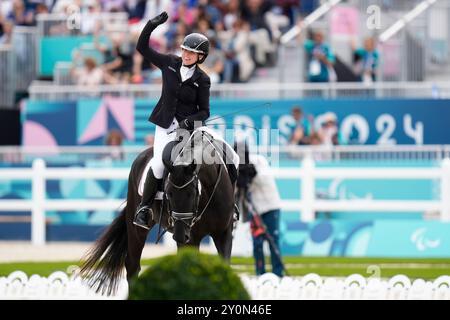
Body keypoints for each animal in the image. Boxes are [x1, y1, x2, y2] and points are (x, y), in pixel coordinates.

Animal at [78, 130, 236, 296]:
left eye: (192, 193)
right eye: (169, 193)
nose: (180, 235)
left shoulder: (223, 233)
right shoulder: (191, 240)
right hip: (137, 228)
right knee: (132, 265)